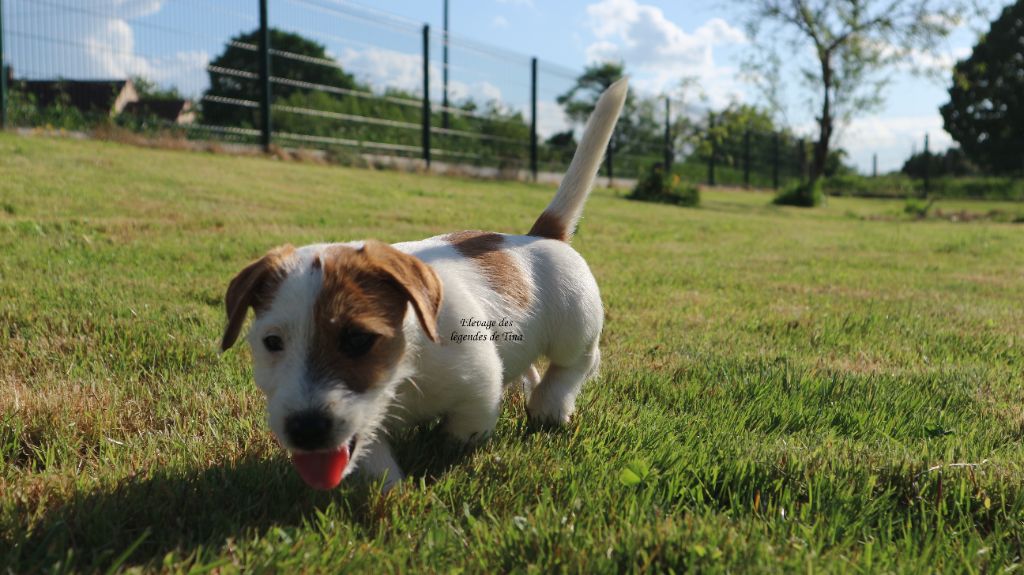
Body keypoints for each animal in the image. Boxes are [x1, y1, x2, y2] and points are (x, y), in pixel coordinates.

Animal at [219, 79, 628, 490]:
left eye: (358, 339)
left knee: (576, 365)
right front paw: (390, 490)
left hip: (575, 328)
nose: (305, 430)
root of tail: (539, 235)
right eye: (272, 343)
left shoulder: (479, 389)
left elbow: (464, 431)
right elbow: (374, 459)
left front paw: (443, 454)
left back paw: (549, 406)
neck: (406, 371)